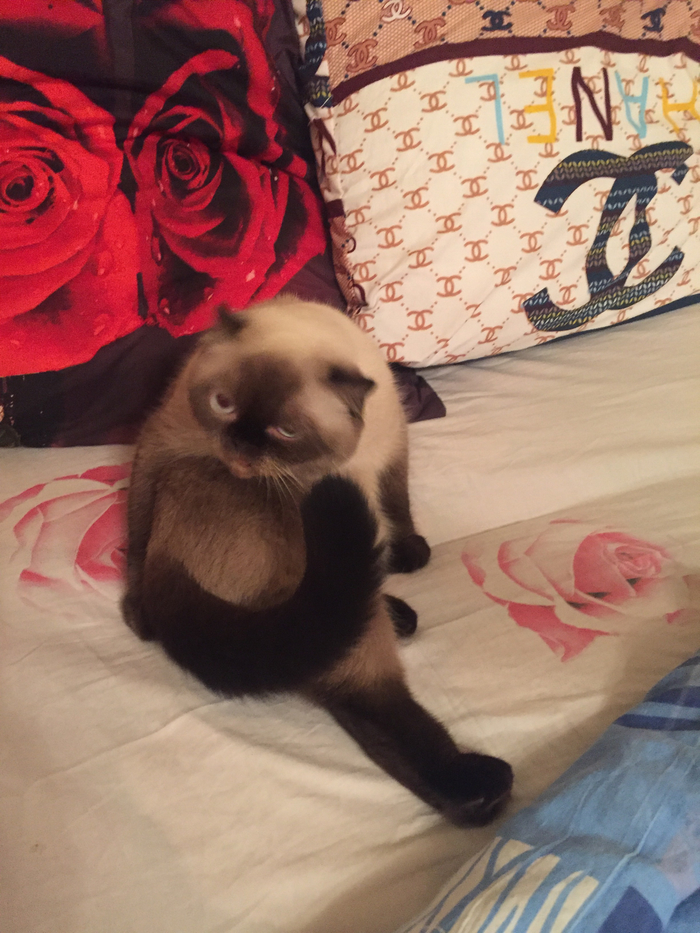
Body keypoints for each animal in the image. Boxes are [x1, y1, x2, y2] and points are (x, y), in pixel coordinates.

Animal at [122, 297, 513, 825]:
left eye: (287, 430)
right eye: (222, 404)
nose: (240, 452)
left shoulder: (392, 451)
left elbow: (397, 504)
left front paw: (408, 552)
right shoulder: (168, 439)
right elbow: (136, 518)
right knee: (358, 682)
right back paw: (477, 793)